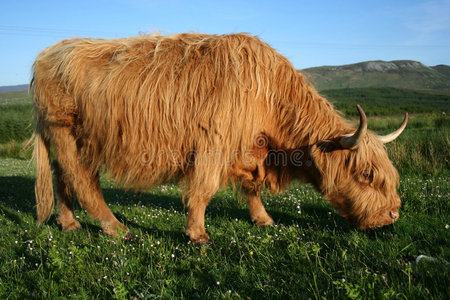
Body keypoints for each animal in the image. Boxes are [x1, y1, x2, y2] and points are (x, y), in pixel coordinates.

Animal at [29, 32, 406, 244]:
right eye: (367, 174)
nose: (392, 215)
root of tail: (47, 53)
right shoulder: (214, 145)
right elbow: (204, 190)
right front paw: (198, 234)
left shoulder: (252, 149)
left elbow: (252, 188)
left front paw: (263, 219)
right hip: (65, 131)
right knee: (81, 179)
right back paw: (115, 228)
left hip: (76, 139)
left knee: (63, 176)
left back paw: (70, 223)